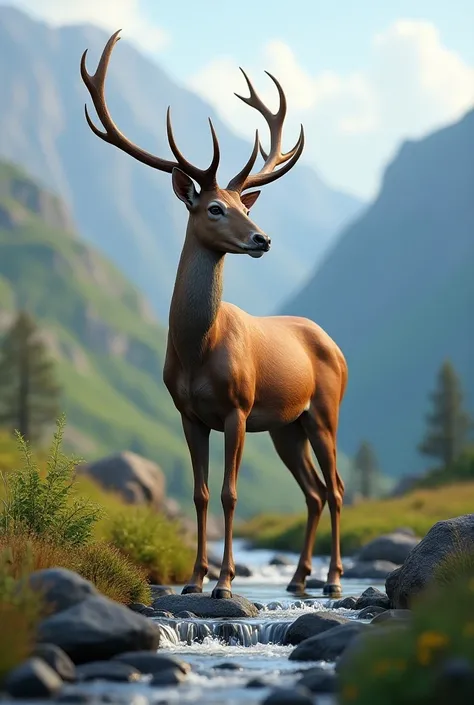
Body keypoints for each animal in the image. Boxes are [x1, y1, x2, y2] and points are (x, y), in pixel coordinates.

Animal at [81, 30, 348, 596]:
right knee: (314, 491)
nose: (262, 238)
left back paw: (333, 581)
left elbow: (229, 493)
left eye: (247, 206)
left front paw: (225, 582)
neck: (196, 348)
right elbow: (201, 493)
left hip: (324, 410)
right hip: (287, 426)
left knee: (336, 488)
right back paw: (298, 579)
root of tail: (334, 345)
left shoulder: (238, 409)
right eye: (215, 208)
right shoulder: (188, 412)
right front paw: (194, 579)